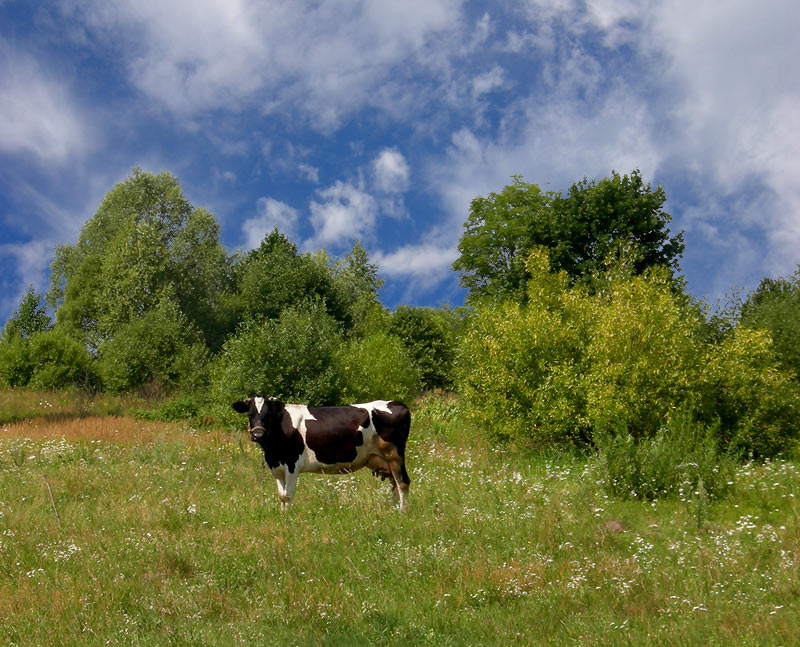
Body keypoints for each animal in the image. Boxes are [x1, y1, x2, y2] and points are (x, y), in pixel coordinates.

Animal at [232, 396, 411, 511]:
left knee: (403, 482)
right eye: (250, 415)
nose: (258, 434)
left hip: (394, 454)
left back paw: (402, 512)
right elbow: (281, 496)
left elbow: (288, 495)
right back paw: (393, 510)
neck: (273, 451)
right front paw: (282, 517)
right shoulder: (277, 469)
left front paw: (288, 520)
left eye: (268, 415)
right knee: (394, 483)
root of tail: (397, 403)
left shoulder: (292, 465)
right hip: (384, 460)